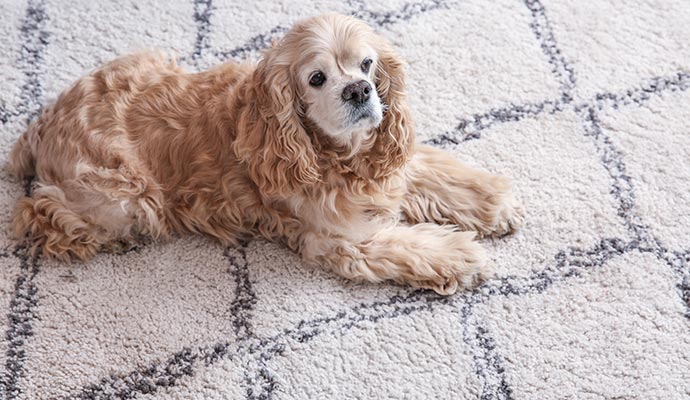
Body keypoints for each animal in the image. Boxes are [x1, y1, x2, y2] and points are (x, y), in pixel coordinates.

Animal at [6, 13, 520, 294]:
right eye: (317, 78)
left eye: (367, 64)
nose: (359, 90)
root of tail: (42, 123)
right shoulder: (342, 240)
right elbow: (410, 246)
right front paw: (461, 256)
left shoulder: (386, 166)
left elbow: (437, 174)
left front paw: (495, 205)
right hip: (125, 195)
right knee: (37, 214)